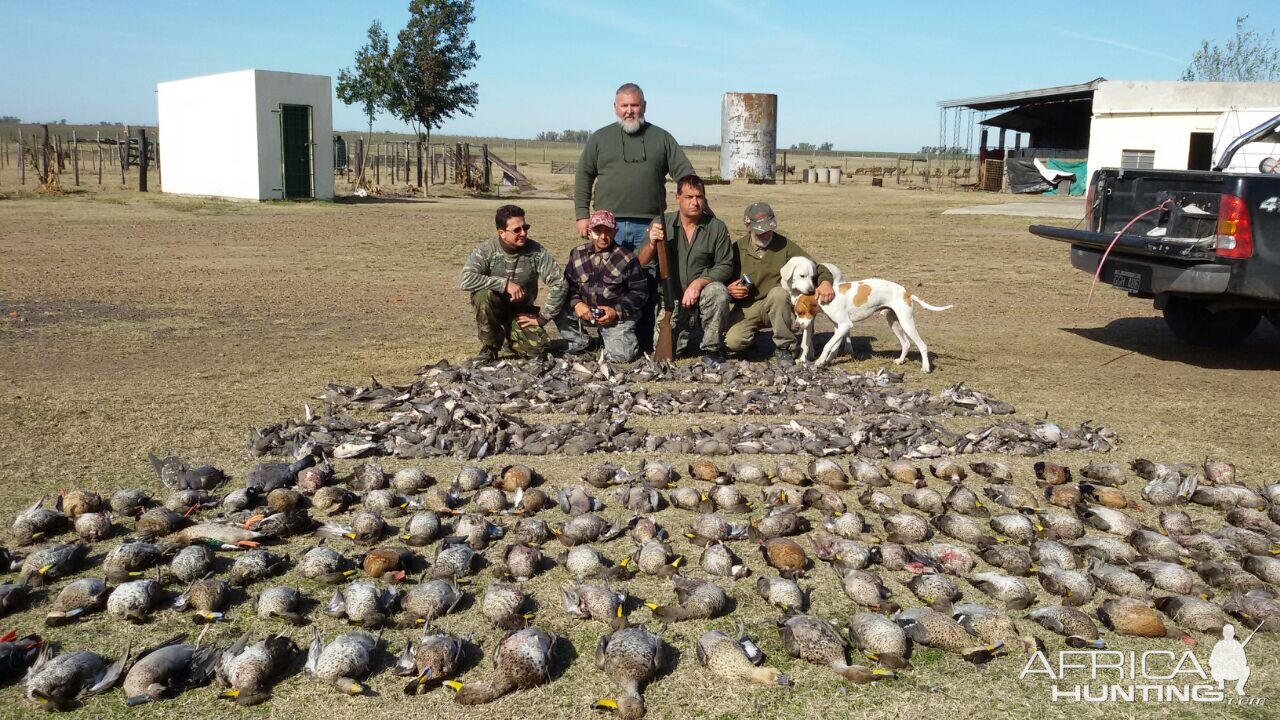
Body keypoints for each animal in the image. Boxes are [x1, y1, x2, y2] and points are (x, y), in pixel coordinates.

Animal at [778, 254, 952, 368]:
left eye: (801, 312)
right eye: (796, 313)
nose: (796, 326)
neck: (824, 298)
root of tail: (907, 293)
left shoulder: (845, 325)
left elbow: (828, 345)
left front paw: (820, 361)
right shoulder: (839, 327)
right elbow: (834, 345)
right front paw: (827, 360)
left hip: (906, 322)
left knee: (922, 345)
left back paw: (926, 368)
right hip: (894, 322)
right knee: (906, 344)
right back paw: (900, 361)